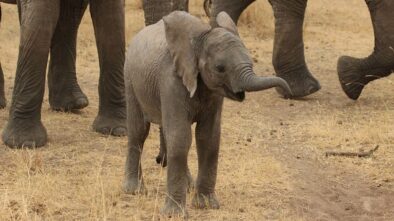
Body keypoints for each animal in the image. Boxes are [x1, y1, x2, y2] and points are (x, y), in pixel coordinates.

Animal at [124, 11, 290, 217]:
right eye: (220, 68)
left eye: (251, 61)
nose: (287, 90)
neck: (200, 41)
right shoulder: (171, 80)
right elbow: (181, 138)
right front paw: (174, 215)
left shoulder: (214, 93)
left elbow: (208, 138)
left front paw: (206, 205)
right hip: (130, 79)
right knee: (138, 131)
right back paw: (134, 191)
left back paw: (188, 186)